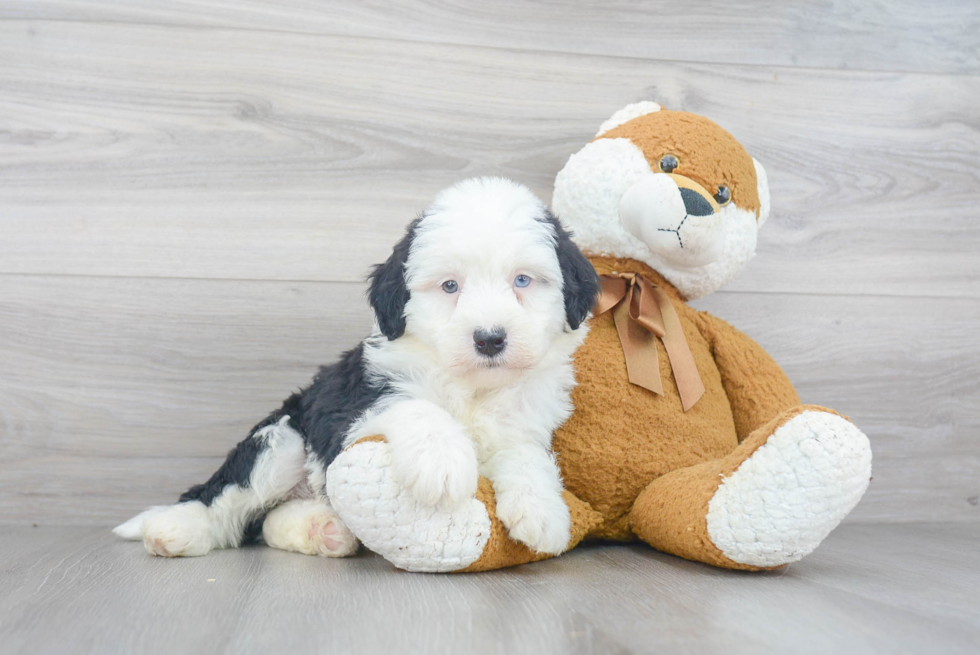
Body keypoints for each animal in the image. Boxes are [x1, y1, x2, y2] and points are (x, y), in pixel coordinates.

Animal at [118, 178, 600, 560]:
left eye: (522, 281)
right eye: (450, 286)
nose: (489, 338)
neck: (472, 389)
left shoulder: (524, 423)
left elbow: (526, 456)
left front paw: (543, 512)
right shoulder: (350, 405)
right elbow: (414, 405)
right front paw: (441, 461)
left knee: (270, 521)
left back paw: (324, 530)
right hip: (283, 440)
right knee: (222, 498)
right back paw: (173, 530)